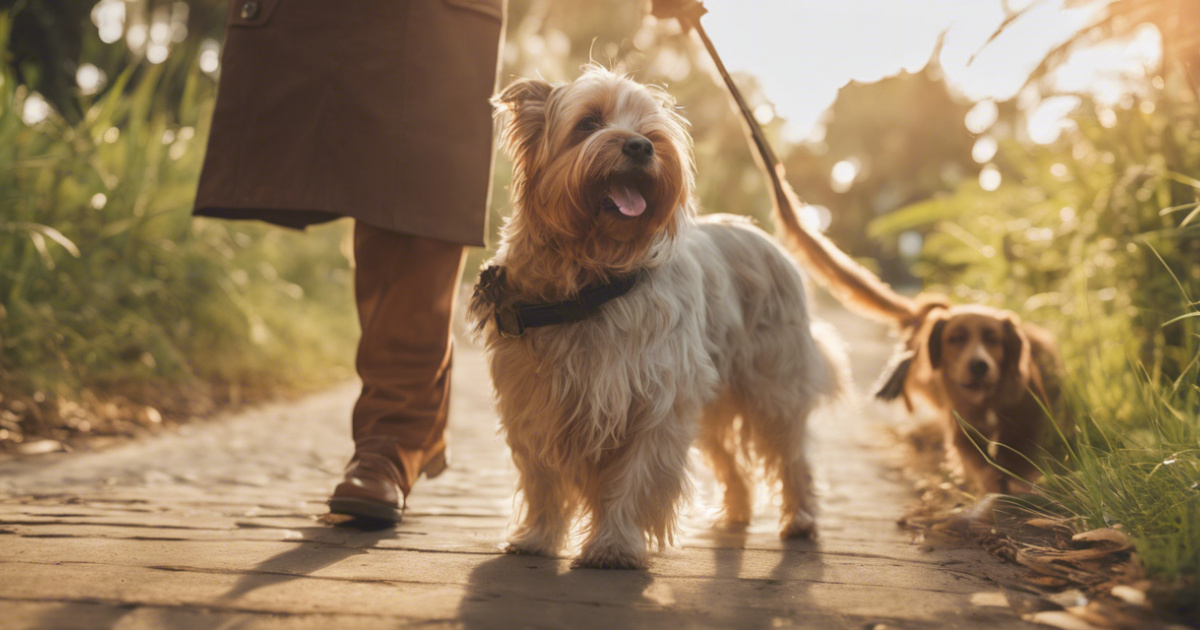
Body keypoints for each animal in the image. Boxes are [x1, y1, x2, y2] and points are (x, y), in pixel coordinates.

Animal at [468, 68, 844, 568]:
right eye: (588, 123)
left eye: (649, 125)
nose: (642, 146)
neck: (592, 278)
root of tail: (764, 236)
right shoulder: (536, 402)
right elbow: (542, 479)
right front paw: (537, 536)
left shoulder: (654, 400)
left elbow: (635, 477)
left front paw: (613, 545)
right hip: (713, 397)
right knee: (732, 460)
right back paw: (736, 513)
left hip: (772, 386)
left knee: (791, 454)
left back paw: (800, 519)